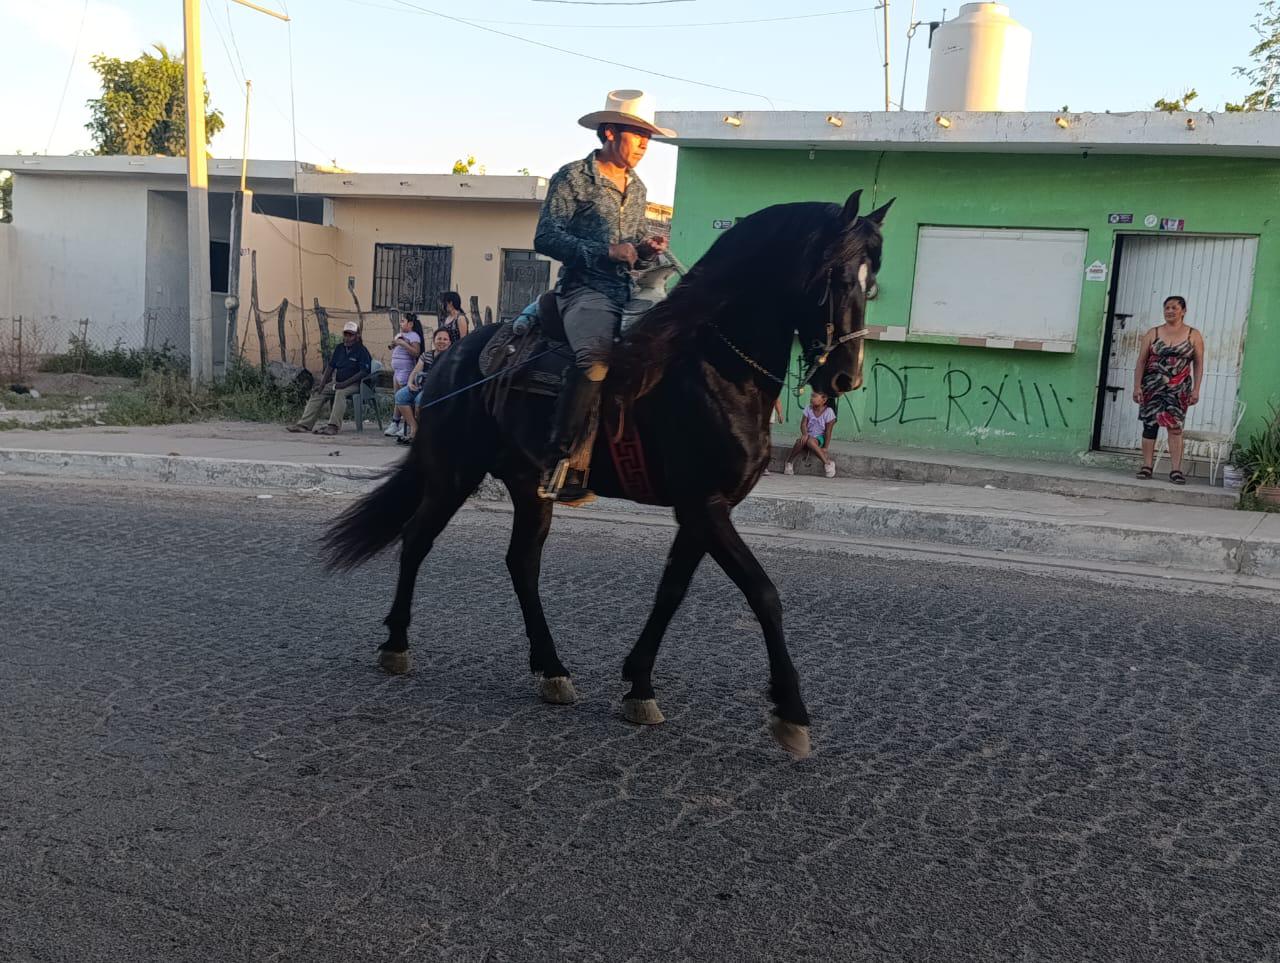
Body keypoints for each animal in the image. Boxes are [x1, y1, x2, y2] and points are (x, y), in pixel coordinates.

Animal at [325, 188, 890, 758]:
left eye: (873, 282)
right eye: (837, 276)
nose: (846, 377)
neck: (717, 368)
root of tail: (447, 359)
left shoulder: (702, 513)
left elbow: (671, 591)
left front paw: (639, 685)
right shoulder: (706, 507)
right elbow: (764, 593)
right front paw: (791, 712)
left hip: (530, 488)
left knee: (521, 563)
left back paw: (551, 669)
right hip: (453, 474)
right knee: (418, 539)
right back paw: (397, 644)